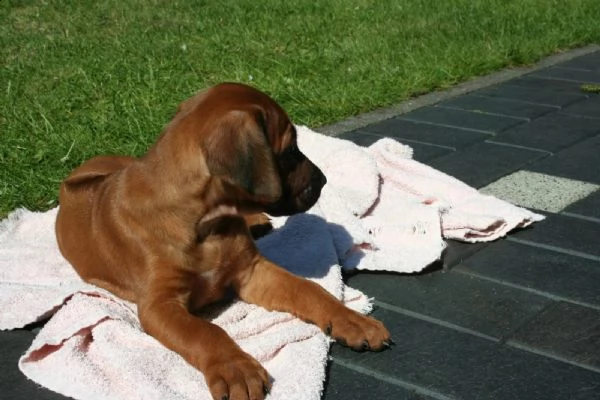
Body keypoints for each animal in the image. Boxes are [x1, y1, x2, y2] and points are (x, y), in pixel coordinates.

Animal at [56, 82, 392, 400]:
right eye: (289, 150)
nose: (322, 180)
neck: (207, 223)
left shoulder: (252, 270)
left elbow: (309, 289)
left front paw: (351, 319)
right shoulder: (158, 304)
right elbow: (204, 331)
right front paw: (236, 368)